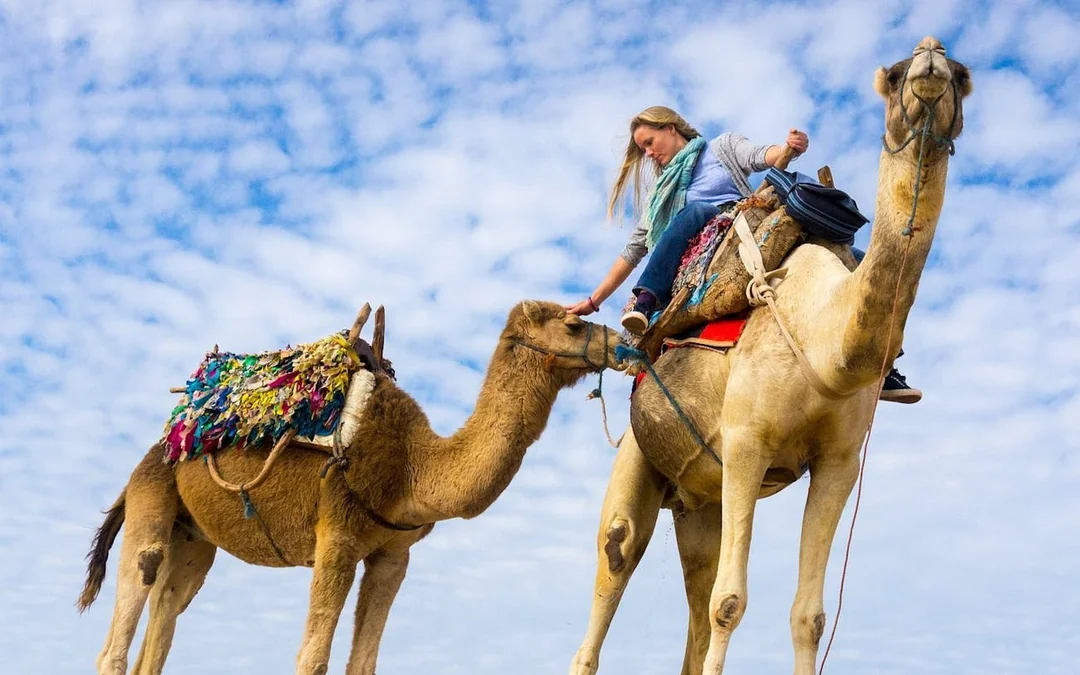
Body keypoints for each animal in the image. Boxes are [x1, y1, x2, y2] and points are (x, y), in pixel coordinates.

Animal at [78, 300, 626, 675]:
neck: (412, 466)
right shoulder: (337, 535)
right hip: (153, 493)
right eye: (574, 324)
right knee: (129, 606)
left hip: (193, 539)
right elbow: (313, 658)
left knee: (167, 609)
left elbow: (363, 662)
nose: (622, 342)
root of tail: (161, 447)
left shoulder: (393, 554)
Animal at [569, 37, 971, 675]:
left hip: (698, 503)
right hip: (639, 454)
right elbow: (729, 603)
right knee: (618, 551)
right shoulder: (745, 443)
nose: (929, 62)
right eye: (894, 75)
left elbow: (808, 615)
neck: (823, 342)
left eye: (961, 76)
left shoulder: (839, 462)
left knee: (697, 585)